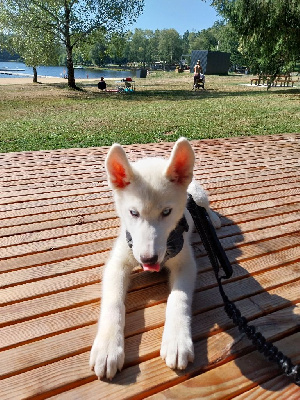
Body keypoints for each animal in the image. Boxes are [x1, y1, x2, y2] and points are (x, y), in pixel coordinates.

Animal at [89, 137, 220, 378]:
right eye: (133, 213)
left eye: (167, 212)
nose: (148, 260)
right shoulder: (117, 263)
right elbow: (113, 303)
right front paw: (108, 347)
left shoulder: (185, 263)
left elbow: (179, 299)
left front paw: (177, 340)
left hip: (199, 194)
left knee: (205, 207)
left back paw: (213, 220)